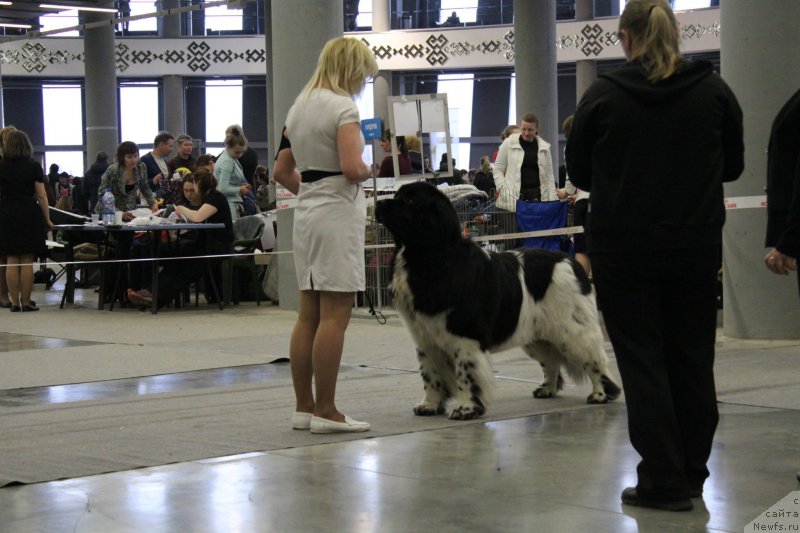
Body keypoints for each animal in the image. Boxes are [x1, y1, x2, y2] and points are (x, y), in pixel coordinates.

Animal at [376, 183, 624, 420]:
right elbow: (431, 375)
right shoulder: (425, 338)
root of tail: (572, 263)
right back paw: (546, 389)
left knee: (594, 361)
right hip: (536, 335)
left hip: (572, 331)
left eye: (409, 201)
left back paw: (600, 394)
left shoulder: (466, 337)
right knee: (551, 361)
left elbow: (465, 375)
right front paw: (428, 405)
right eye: (397, 196)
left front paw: (466, 410)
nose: (378, 203)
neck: (428, 257)